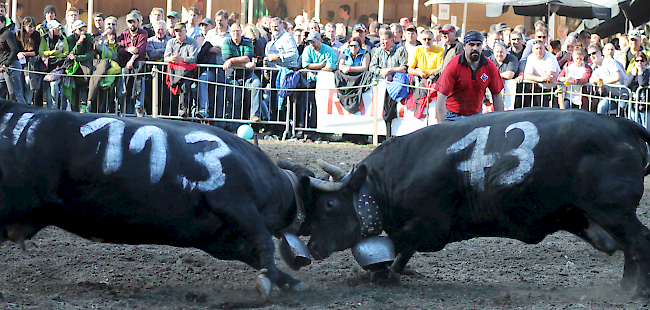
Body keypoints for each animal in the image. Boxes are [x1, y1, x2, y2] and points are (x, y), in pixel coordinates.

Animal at [0, 100, 308, 300]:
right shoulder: (235, 203)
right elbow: (265, 242)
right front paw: (269, 284)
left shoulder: (219, 239)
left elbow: (255, 254)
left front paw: (290, 282)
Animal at [284, 108, 650, 300]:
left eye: (330, 206)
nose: (312, 246)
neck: (383, 181)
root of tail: (620, 123)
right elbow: (402, 252)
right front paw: (393, 272)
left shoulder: (426, 225)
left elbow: (398, 245)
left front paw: (381, 274)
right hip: (599, 217)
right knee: (629, 247)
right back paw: (626, 288)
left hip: (614, 212)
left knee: (638, 243)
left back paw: (636, 290)